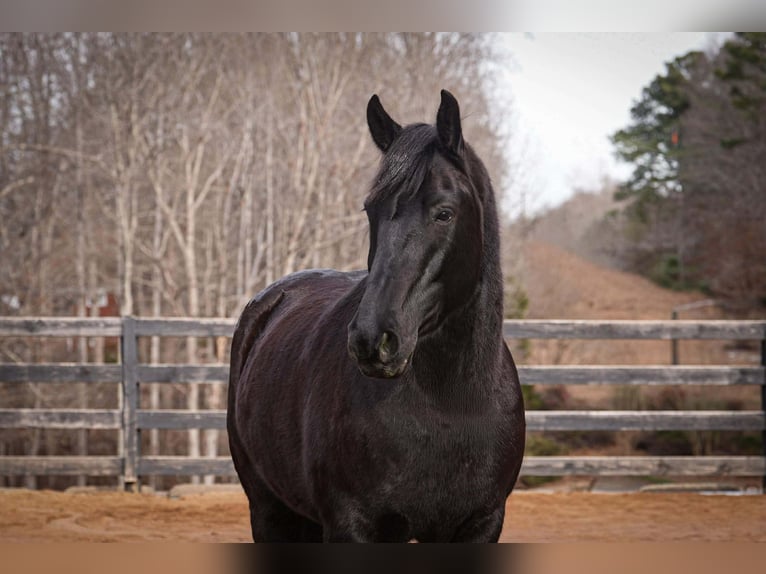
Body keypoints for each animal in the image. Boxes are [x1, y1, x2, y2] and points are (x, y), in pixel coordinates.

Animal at [227, 90, 525, 542]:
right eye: (371, 210)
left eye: (444, 212)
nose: (373, 340)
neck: (450, 407)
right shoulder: (355, 526)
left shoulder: (482, 524)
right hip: (269, 511)